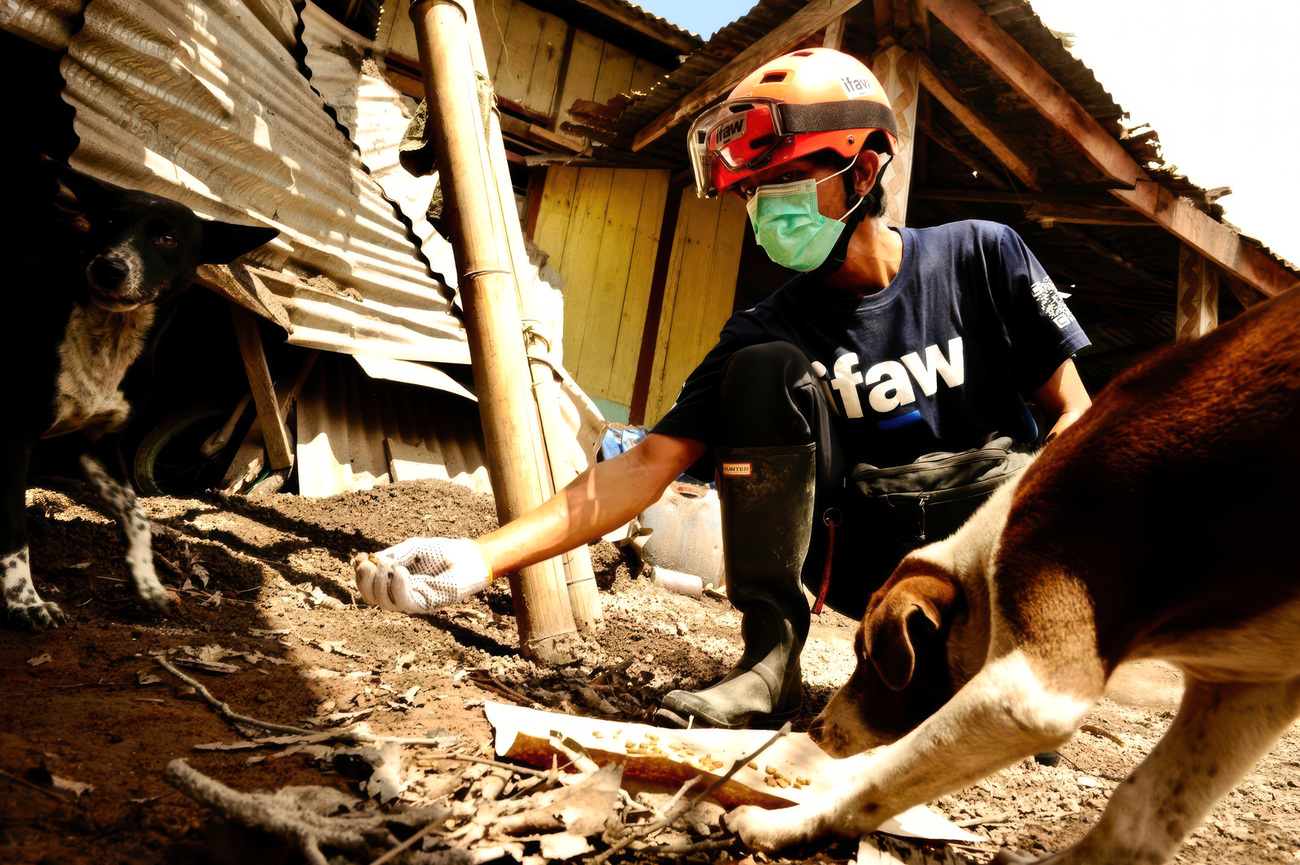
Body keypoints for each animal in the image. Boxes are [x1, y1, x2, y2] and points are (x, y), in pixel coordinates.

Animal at [3, 158, 279, 624]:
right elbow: (11, 532)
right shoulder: (16, 435)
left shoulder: (94, 444)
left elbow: (137, 515)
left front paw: (148, 584)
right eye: (109, 223)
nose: (109, 268)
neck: (109, 339)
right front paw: (24, 602)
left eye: (167, 238)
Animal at [728, 282, 1300, 858]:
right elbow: (1136, 816)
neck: (985, 565)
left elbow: (876, 777)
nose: (816, 729)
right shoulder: (1243, 687)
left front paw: (786, 824)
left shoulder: (1030, 689)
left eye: (869, 657)